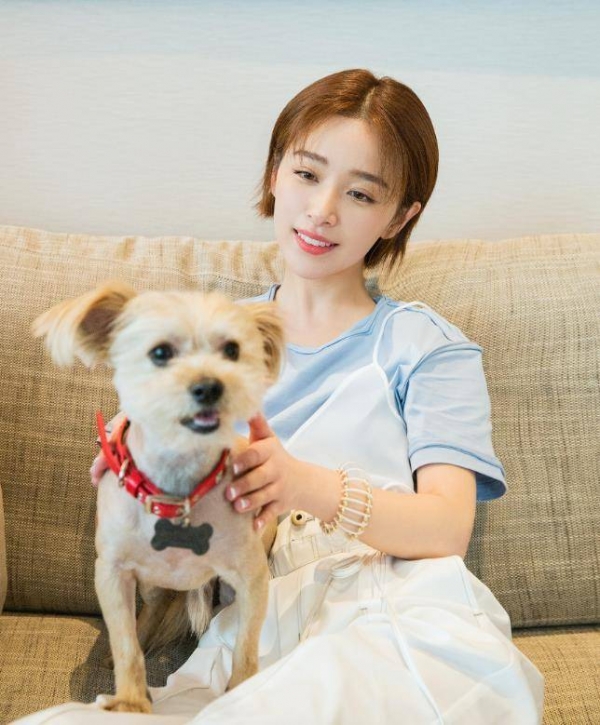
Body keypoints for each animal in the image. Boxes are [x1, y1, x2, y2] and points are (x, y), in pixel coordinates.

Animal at [33, 281, 284, 713]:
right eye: (160, 353)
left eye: (232, 350)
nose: (210, 386)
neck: (178, 494)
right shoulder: (112, 574)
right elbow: (126, 645)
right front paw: (131, 701)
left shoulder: (252, 578)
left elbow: (245, 649)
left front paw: (239, 693)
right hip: (148, 582)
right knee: (148, 612)